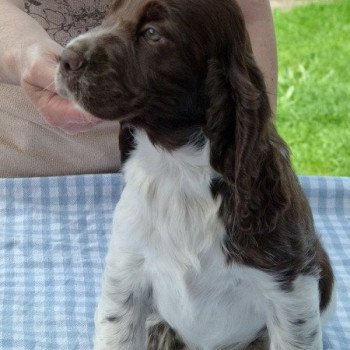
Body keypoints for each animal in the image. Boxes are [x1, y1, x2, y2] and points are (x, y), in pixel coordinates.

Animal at [54, 0, 334, 348]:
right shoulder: (125, 273)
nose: (65, 58)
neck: (178, 169)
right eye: (110, 16)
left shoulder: (290, 287)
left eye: (153, 33)